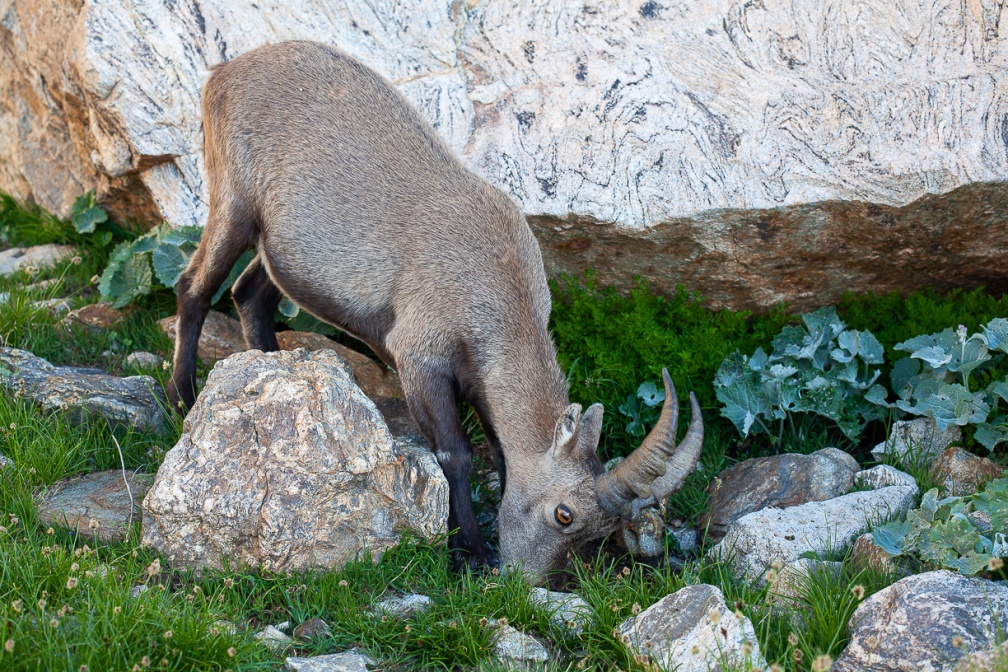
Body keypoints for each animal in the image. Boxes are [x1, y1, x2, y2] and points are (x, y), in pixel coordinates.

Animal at [168, 41, 703, 581]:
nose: (530, 581)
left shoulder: (479, 379)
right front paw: (470, 551)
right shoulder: (419, 357)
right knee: (194, 287)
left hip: (280, 246)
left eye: (598, 532)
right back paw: (183, 398)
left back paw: (268, 367)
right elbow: (455, 454)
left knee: (250, 294)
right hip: (233, 200)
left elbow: (500, 454)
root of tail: (224, 72)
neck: (496, 286)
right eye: (564, 514)